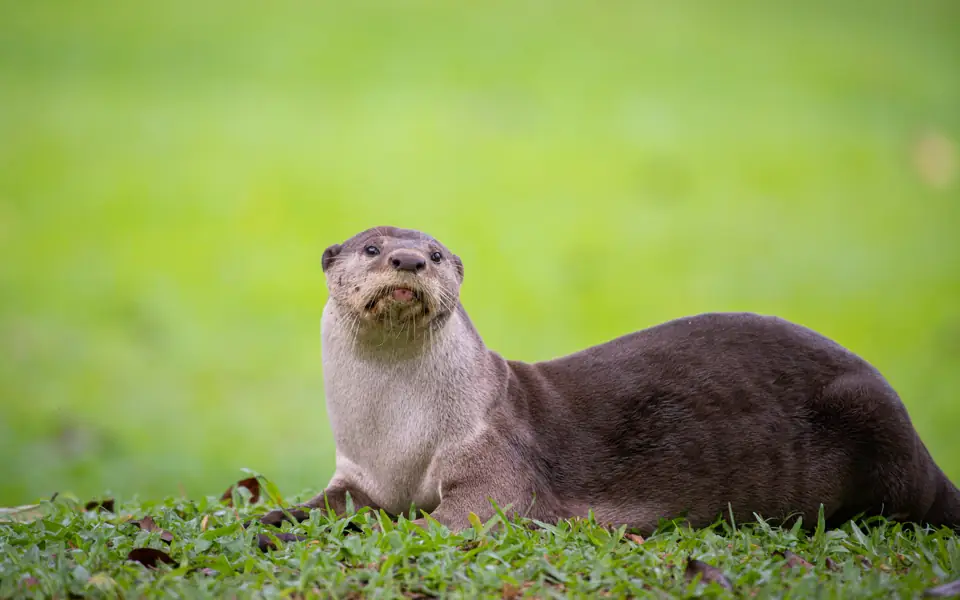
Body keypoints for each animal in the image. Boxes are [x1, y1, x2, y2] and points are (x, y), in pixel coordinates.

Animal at [258, 225, 956, 536]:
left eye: (432, 255)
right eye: (372, 249)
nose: (407, 261)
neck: (400, 436)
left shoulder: (494, 463)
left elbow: (452, 518)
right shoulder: (359, 473)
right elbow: (329, 506)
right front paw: (270, 518)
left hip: (874, 420)